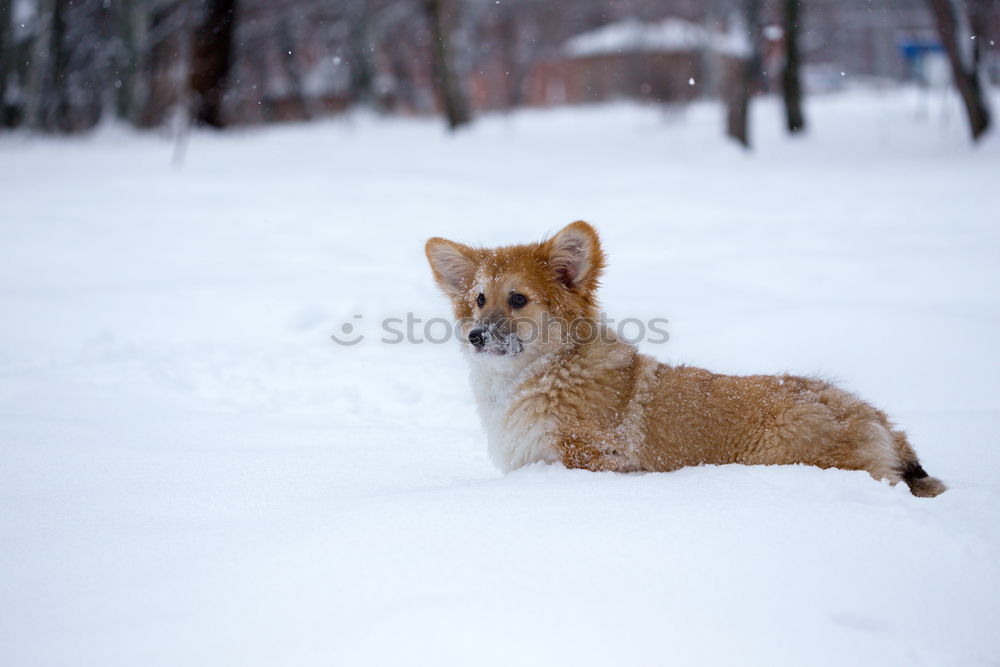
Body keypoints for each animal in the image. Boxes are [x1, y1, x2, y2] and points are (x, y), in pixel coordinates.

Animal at [424, 222, 944, 498]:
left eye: (518, 299)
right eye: (478, 299)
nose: (475, 336)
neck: (545, 373)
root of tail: (873, 418)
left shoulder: (592, 459)